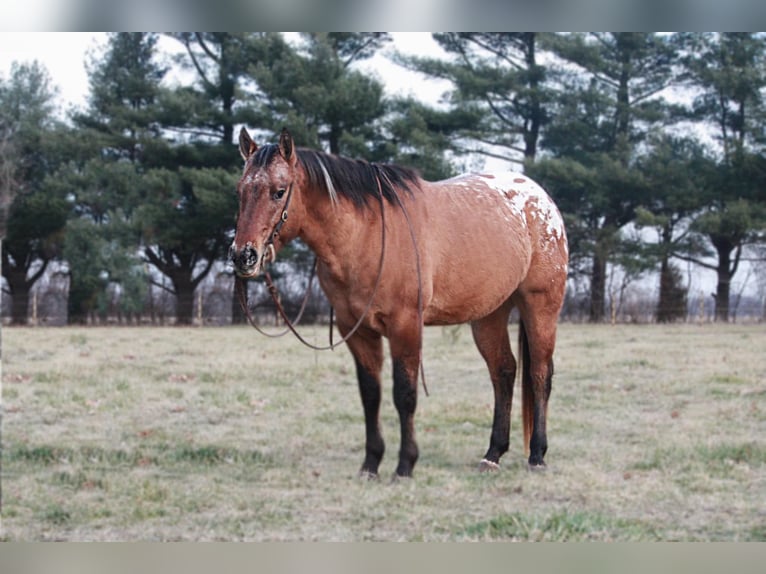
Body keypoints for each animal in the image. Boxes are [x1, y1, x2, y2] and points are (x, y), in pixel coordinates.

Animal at [231, 128, 568, 480]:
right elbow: (371, 395)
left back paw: (537, 455)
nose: (244, 256)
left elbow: (404, 395)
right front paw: (371, 464)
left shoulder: (405, 326)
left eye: (279, 191)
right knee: (503, 371)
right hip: (490, 315)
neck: (366, 234)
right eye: (240, 190)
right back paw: (493, 454)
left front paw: (405, 465)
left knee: (540, 374)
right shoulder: (357, 330)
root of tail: (541, 199)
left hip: (541, 307)